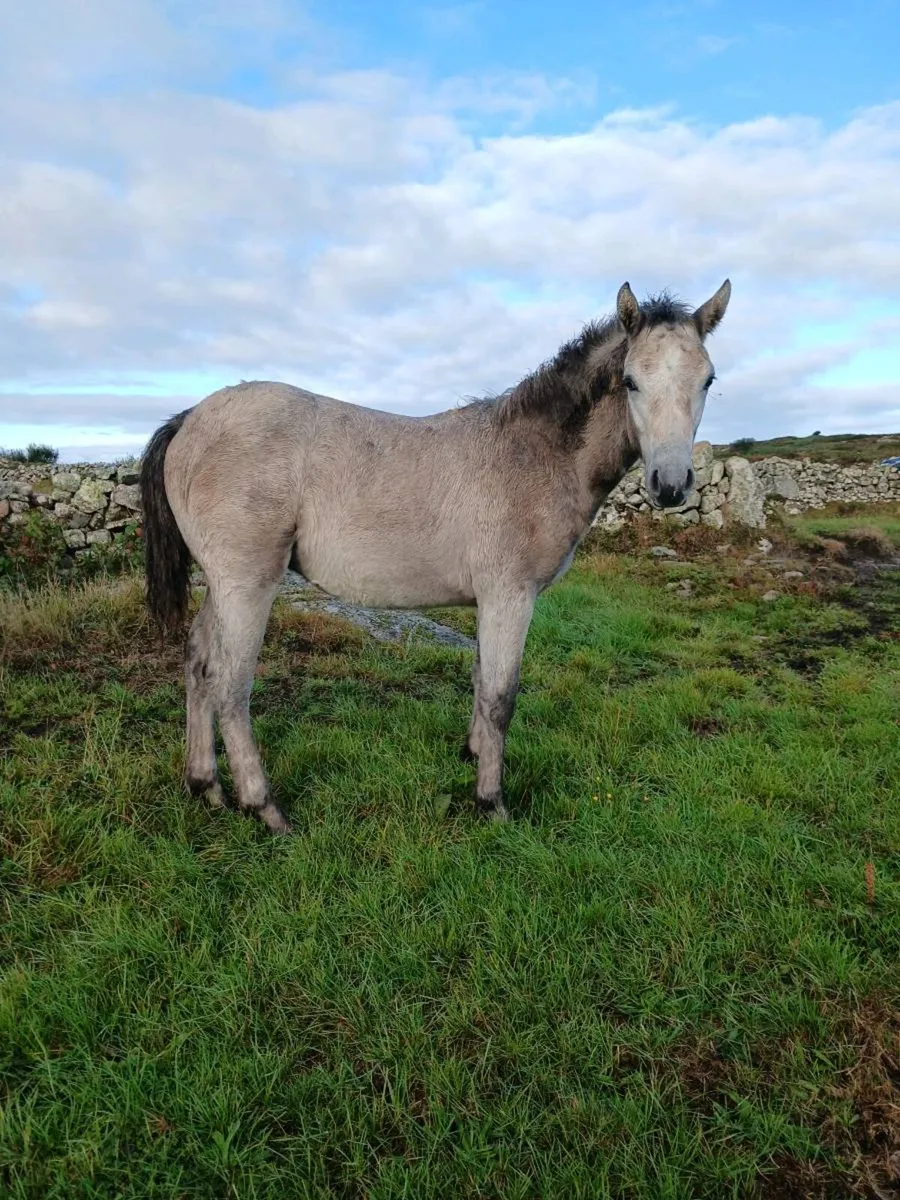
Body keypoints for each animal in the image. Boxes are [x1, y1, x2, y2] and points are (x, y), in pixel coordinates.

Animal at [140, 279, 731, 833]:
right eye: (631, 380)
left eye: (707, 380)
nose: (672, 485)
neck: (534, 456)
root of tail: (189, 418)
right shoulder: (510, 597)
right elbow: (501, 697)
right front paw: (491, 802)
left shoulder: (488, 602)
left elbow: (479, 679)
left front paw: (471, 755)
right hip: (248, 584)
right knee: (231, 686)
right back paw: (265, 808)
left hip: (221, 585)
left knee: (198, 663)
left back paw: (206, 786)